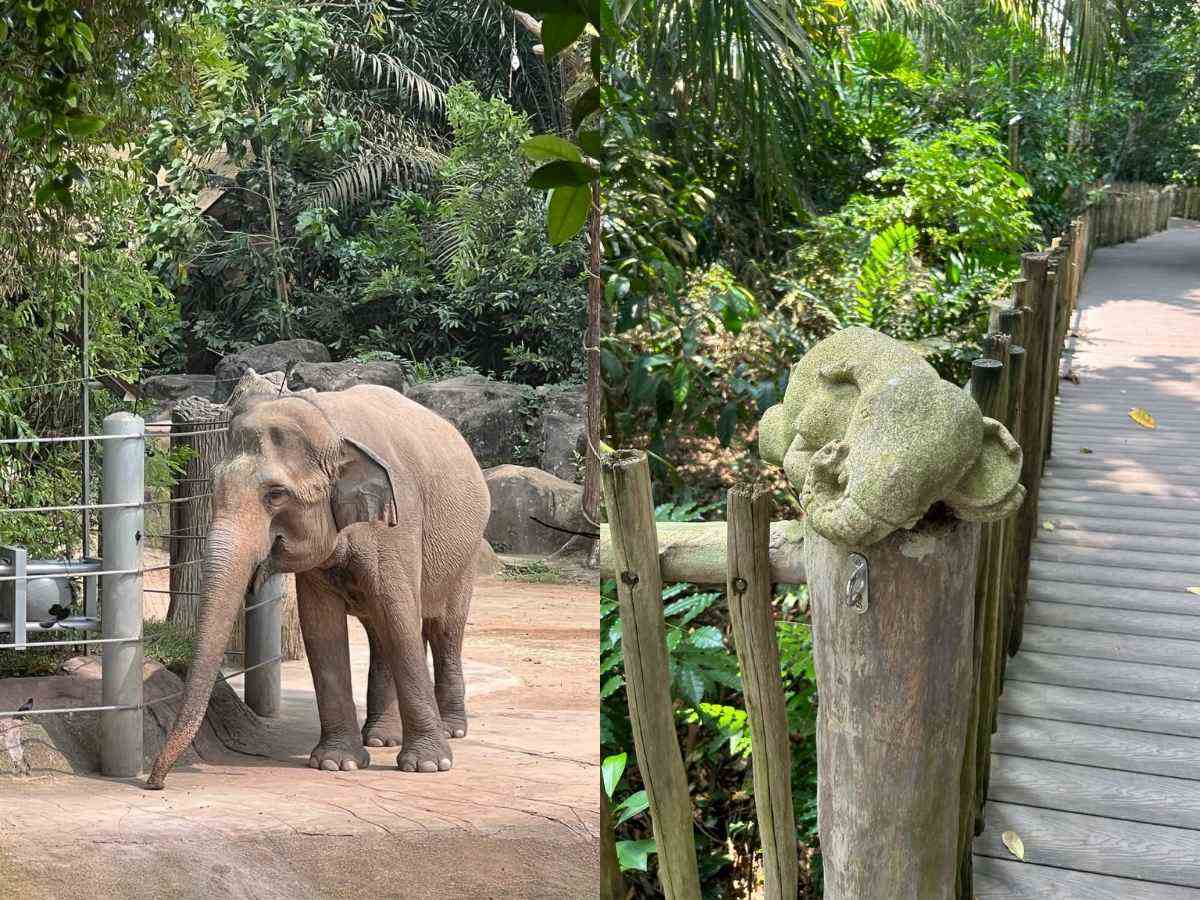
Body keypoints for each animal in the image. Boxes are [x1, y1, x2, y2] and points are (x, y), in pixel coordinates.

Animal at [146, 381, 490, 789]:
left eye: (276, 494)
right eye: (212, 487)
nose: (154, 783)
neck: (329, 426)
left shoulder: (398, 525)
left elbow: (400, 615)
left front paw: (429, 766)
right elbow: (321, 626)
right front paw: (337, 763)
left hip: (467, 554)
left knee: (443, 629)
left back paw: (451, 730)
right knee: (382, 633)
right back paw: (380, 738)